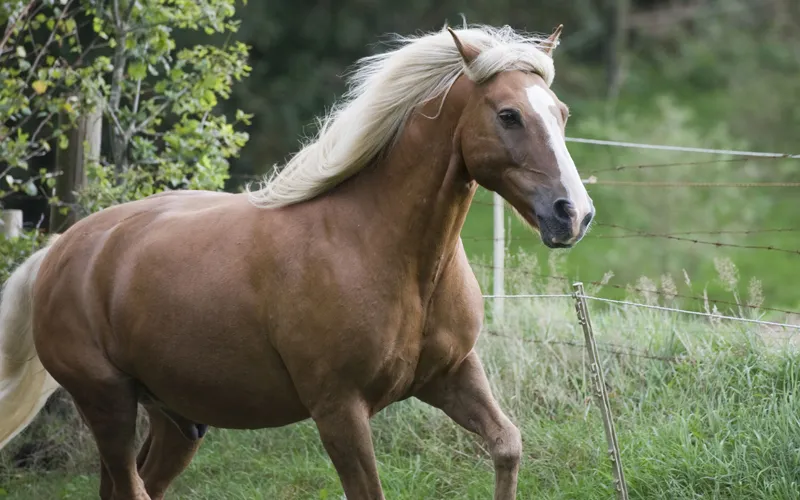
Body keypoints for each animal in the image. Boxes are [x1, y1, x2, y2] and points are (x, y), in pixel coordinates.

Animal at [1, 24, 592, 500]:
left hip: (175, 420)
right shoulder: (339, 410)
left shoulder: (452, 375)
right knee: (131, 486)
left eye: (561, 113)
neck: (382, 249)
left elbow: (507, 445)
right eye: (509, 115)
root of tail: (59, 252)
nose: (574, 214)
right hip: (108, 403)